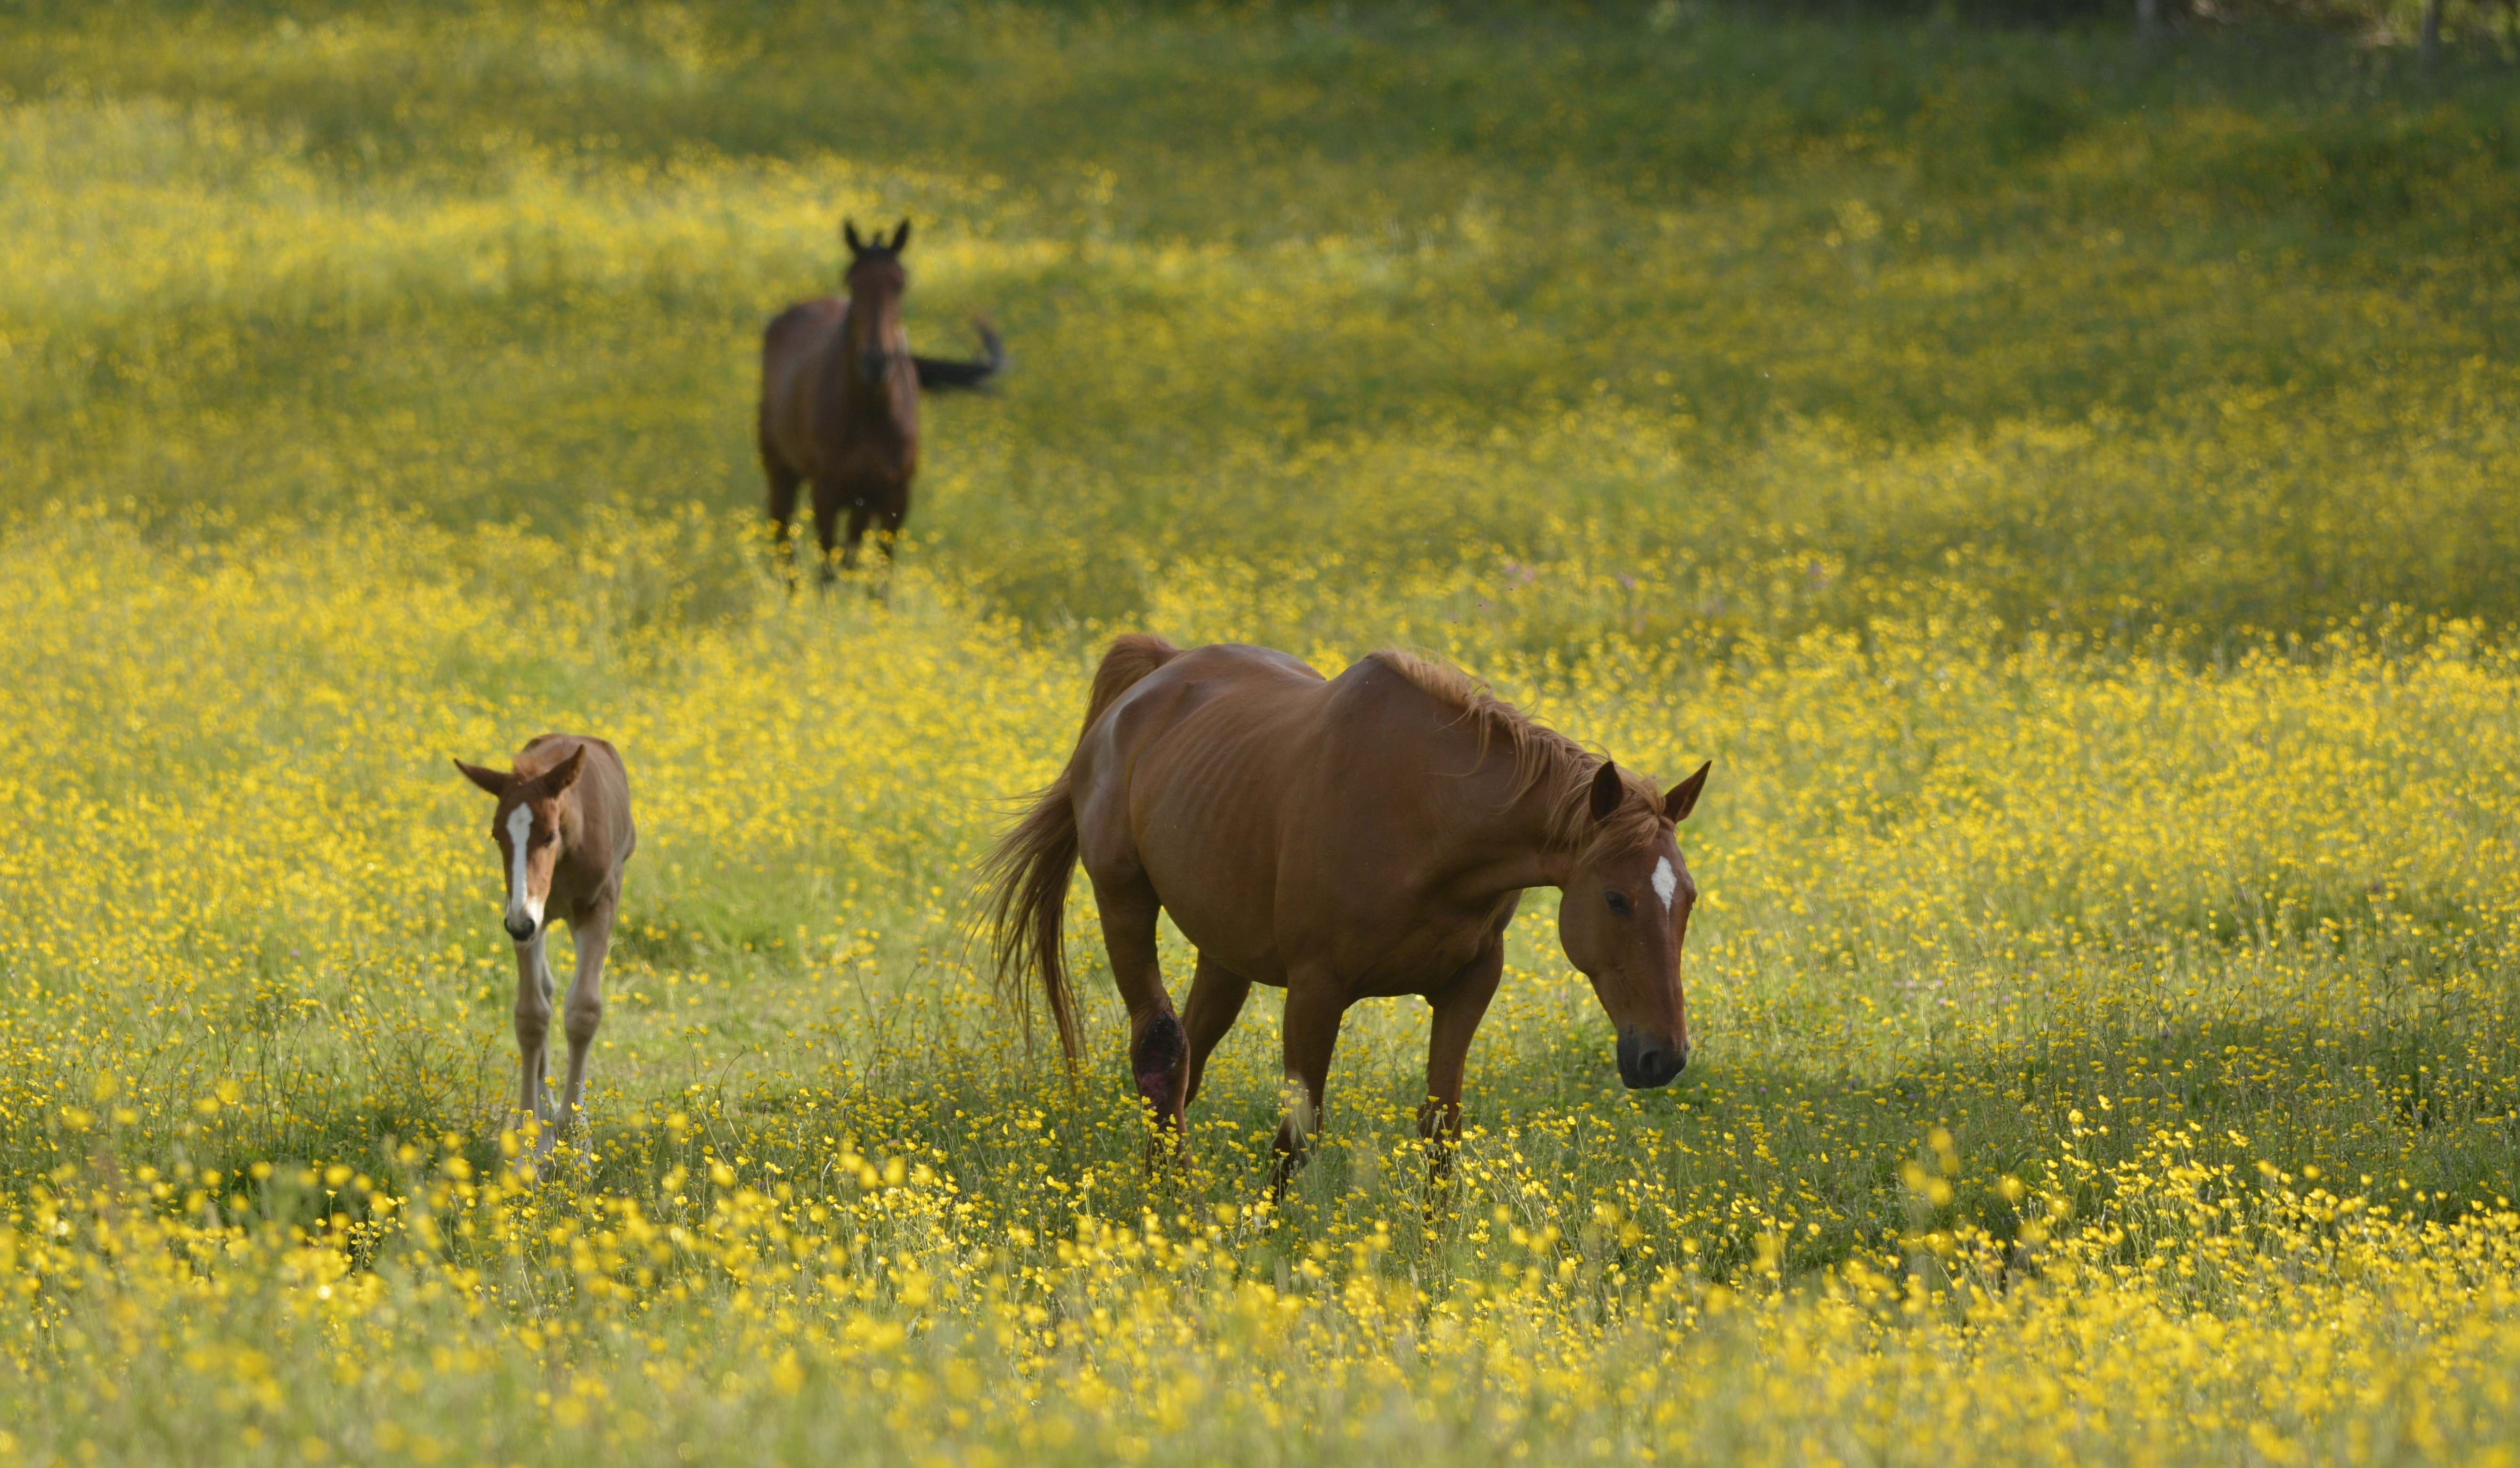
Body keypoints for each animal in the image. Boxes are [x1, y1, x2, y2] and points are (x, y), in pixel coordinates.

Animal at [453, 735, 637, 1162]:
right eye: (497, 836)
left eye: (550, 835)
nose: (520, 925)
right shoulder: (523, 911)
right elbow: (532, 1015)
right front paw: (530, 1146)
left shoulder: (599, 906)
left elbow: (584, 1011)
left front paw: (578, 1141)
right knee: (547, 992)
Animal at [757, 218, 1004, 582]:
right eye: (852, 281)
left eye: (900, 283)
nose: (876, 361)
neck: (871, 415)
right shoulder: (826, 494)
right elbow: (828, 572)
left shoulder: (894, 498)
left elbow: (879, 577)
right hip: (781, 473)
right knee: (786, 546)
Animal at [984, 636, 1711, 1185]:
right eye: (1616, 898)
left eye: (1688, 899)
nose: (1664, 1056)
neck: (1428, 818)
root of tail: (1161, 670)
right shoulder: (1316, 990)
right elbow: (1295, 1136)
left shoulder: (1470, 983)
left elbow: (1440, 1129)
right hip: (1123, 899)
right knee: (1159, 1047)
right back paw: (1173, 1198)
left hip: (1225, 955)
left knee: (1184, 1067)